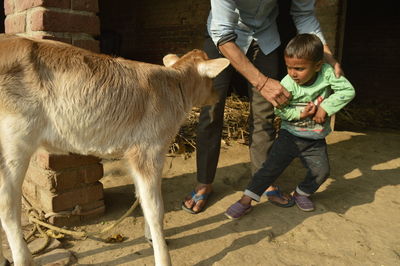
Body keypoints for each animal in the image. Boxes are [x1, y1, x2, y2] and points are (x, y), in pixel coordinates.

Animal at [0, 34, 230, 264]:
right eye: (211, 80)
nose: (218, 95)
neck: (174, 88)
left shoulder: (133, 154)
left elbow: (140, 197)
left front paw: (150, 238)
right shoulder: (148, 150)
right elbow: (155, 208)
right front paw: (163, 257)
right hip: (14, 144)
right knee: (7, 207)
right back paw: (23, 259)